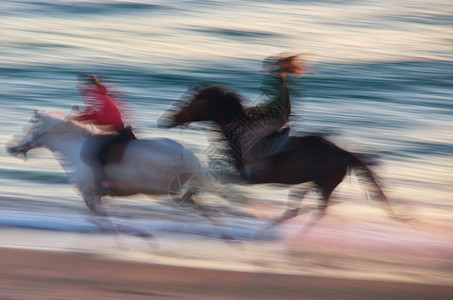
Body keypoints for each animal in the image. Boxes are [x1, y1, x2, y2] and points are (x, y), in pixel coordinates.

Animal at [7, 110, 233, 239]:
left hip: (160, 189)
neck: (75, 147)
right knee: (197, 202)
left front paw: (135, 233)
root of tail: (185, 153)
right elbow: (98, 218)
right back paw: (225, 233)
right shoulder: (94, 196)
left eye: (27, 128)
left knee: (191, 200)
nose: (11, 147)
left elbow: (103, 219)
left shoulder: (90, 195)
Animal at [158, 85, 400, 231]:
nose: (168, 119)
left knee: (318, 210)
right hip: (315, 181)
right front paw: (187, 195)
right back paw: (275, 224)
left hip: (325, 183)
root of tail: (345, 154)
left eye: (191, 102)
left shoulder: (248, 177)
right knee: (300, 204)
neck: (240, 135)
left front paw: (187, 195)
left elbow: (213, 177)